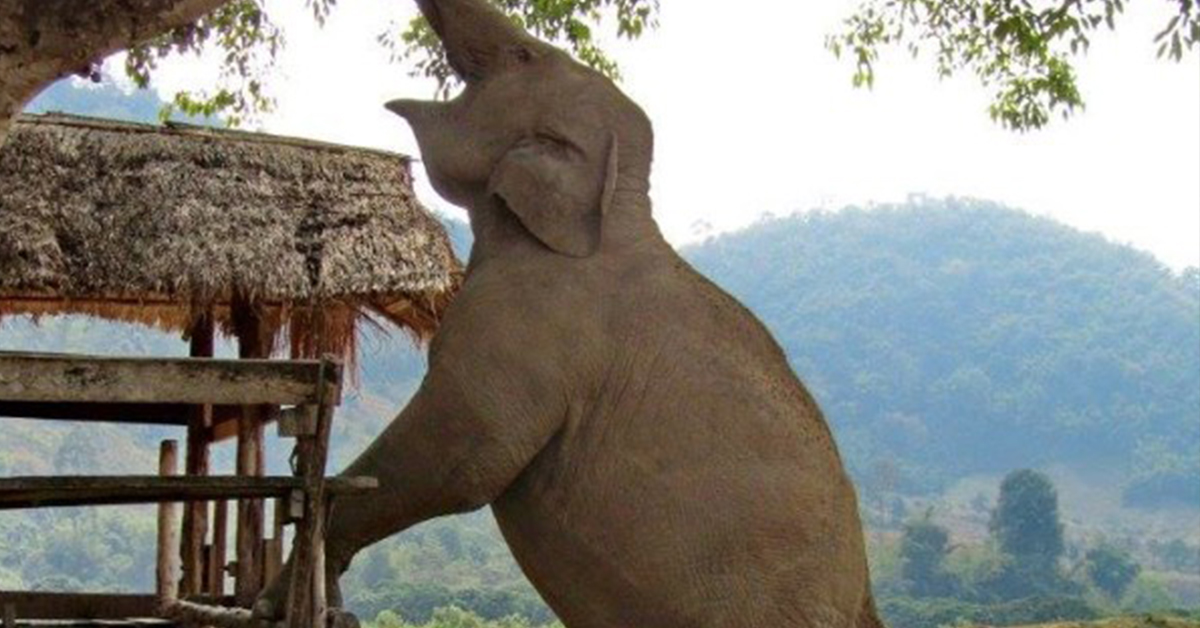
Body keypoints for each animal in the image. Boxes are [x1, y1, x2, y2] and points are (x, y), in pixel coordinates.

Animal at [257, 0, 884, 626]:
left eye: (523, 54)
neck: (614, 207)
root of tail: (864, 598)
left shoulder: (526, 325)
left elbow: (465, 456)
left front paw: (273, 600)